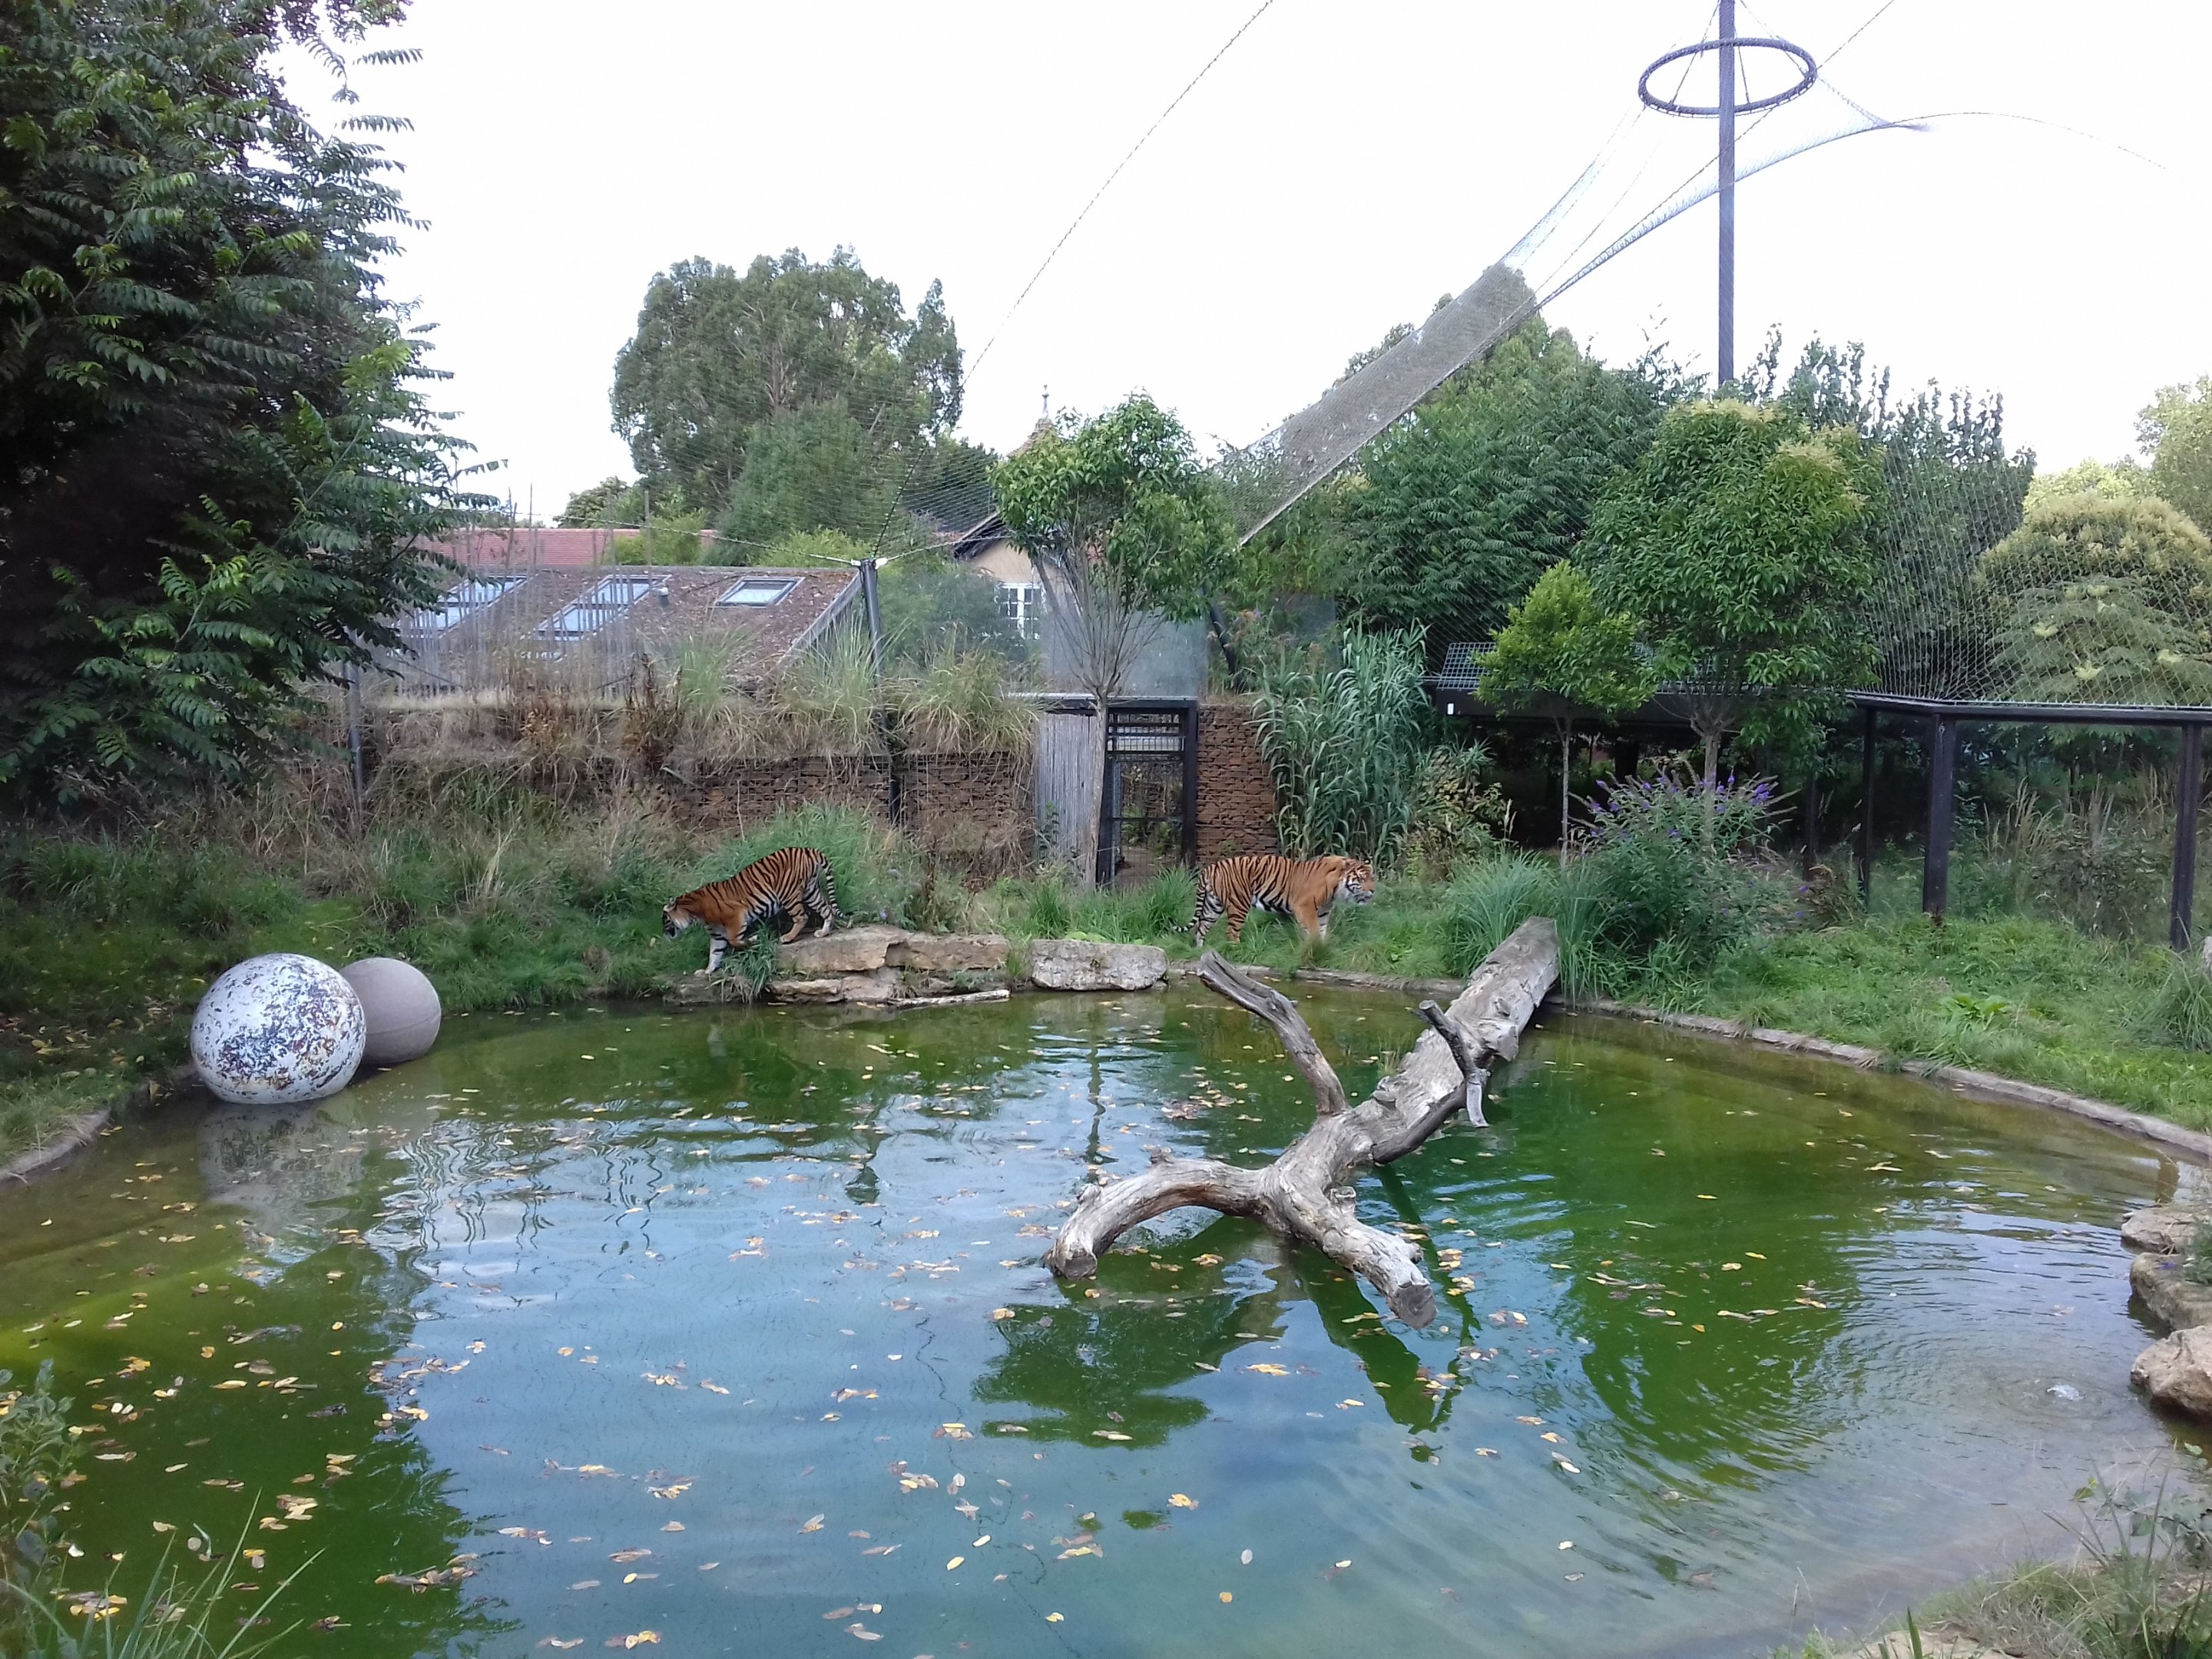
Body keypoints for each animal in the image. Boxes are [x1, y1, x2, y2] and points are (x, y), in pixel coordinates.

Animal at [662, 847, 842, 973]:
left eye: (665, 920)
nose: (664, 935)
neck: (694, 912)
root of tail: (808, 850)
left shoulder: (736, 917)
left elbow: (734, 941)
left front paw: (754, 939)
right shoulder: (717, 933)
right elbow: (715, 953)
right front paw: (707, 971)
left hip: (788, 893)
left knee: (802, 917)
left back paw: (788, 937)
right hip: (810, 891)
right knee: (827, 909)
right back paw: (823, 932)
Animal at [1192, 853, 1377, 946]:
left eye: (1372, 878)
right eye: (1361, 879)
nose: (1373, 891)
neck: (1337, 889)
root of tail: (1212, 867)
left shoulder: (1323, 912)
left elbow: (1321, 931)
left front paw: (1320, 950)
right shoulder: (1305, 906)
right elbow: (1314, 930)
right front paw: (1314, 948)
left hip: (1213, 906)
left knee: (1201, 928)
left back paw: (1202, 952)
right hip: (1239, 904)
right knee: (1231, 931)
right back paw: (1236, 949)